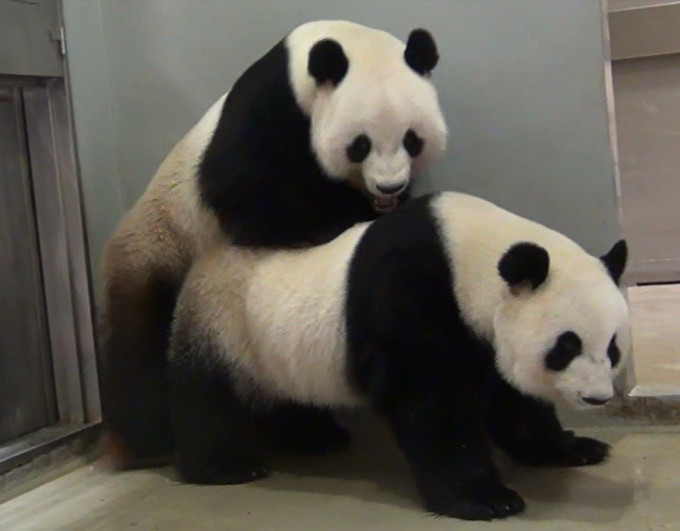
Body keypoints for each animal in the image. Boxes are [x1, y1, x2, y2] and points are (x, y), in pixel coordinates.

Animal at [99, 19, 446, 466]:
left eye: (412, 139)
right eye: (361, 144)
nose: (389, 186)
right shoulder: (268, 112)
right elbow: (244, 193)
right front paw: (329, 223)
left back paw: (311, 434)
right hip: (160, 248)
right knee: (138, 342)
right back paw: (150, 442)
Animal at [169, 191, 632, 520]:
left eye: (612, 346)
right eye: (566, 346)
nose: (596, 398)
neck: (466, 255)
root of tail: (204, 262)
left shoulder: (485, 336)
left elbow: (512, 400)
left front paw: (573, 448)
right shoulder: (410, 295)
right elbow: (429, 403)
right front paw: (485, 498)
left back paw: (317, 438)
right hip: (224, 328)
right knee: (208, 401)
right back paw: (226, 468)